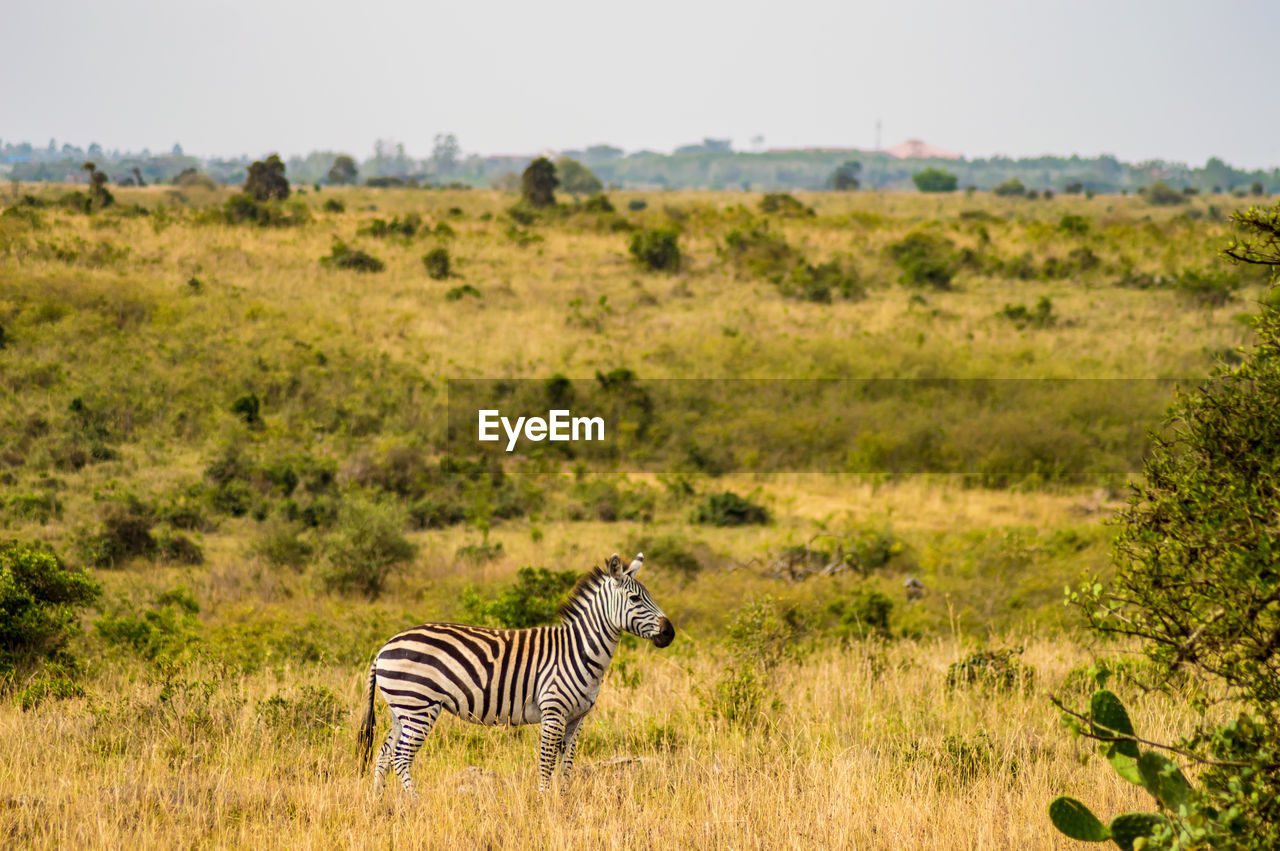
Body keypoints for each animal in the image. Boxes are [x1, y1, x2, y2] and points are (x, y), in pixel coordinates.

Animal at [358, 550, 675, 788]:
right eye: (635, 599)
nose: (669, 633)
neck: (580, 650)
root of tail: (384, 647)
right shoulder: (553, 711)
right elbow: (546, 764)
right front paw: (546, 806)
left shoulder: (577, 718)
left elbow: (567, 767)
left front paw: (565, 804)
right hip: (418, 705)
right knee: (401, 758)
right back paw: (413, 805)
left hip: (401, 708)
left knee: (384, 755)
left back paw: (380, 805)